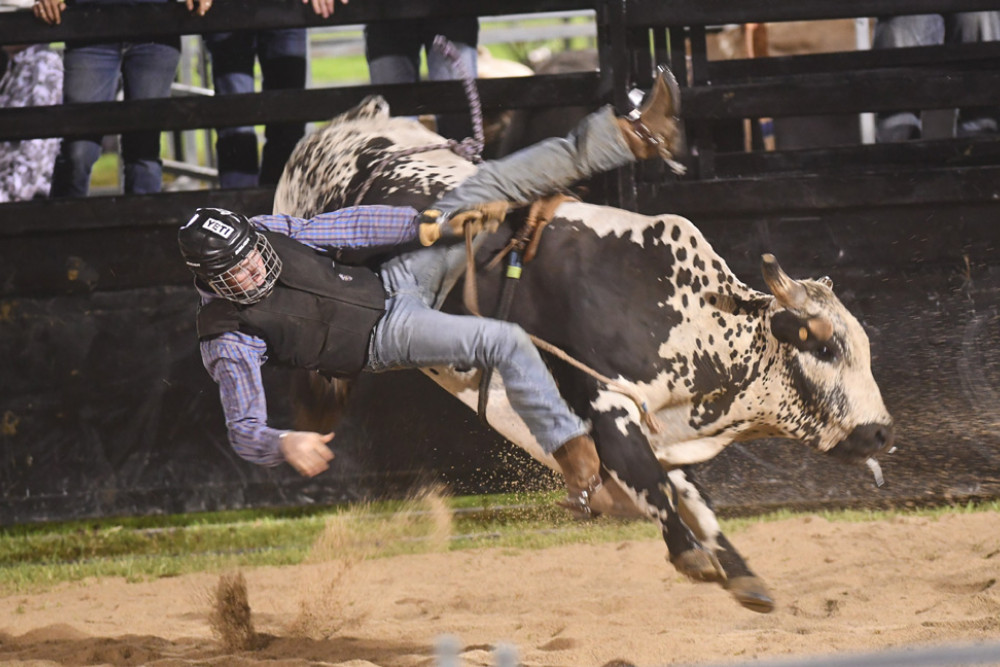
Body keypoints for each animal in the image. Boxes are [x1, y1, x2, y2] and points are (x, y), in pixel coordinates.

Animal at [270, 96, 896, 612]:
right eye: (827, 346)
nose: (884, 430)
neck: (684, 315)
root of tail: (351, 124)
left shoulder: (660, 429)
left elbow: (688, 495)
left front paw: (740, 572)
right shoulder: (606, 405)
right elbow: (654, 485)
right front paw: (691, 556)